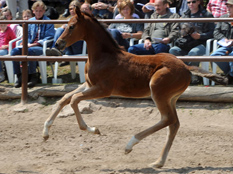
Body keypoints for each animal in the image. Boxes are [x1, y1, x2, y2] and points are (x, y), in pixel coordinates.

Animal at [42, 7, 228, 168]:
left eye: (72, 26)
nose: (58, 44)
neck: (103, 56)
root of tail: (186, 67)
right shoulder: (88, 84)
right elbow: (65, 98)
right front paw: (45, 132)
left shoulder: (103, 89)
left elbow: (74, 99)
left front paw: (93, 129)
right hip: (171, 98)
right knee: (174, 123)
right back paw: (158, 162)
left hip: (158, 92)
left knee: (167, 119)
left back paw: (130, 145)